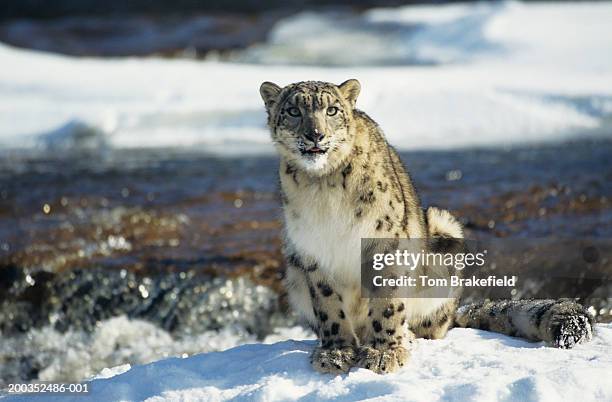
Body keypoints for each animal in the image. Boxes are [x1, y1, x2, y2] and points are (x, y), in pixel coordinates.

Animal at [256, 80, 592, 376]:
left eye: (332, 110)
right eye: (293, 111)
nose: (315, 134)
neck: (323, 187)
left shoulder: (384, 244)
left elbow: (387, 301)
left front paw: (385, 352)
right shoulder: (313, 251)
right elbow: (328, 306)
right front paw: (335, 352)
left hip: (444, 241)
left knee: (431, 326)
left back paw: (402, 336)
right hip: (294, 273)